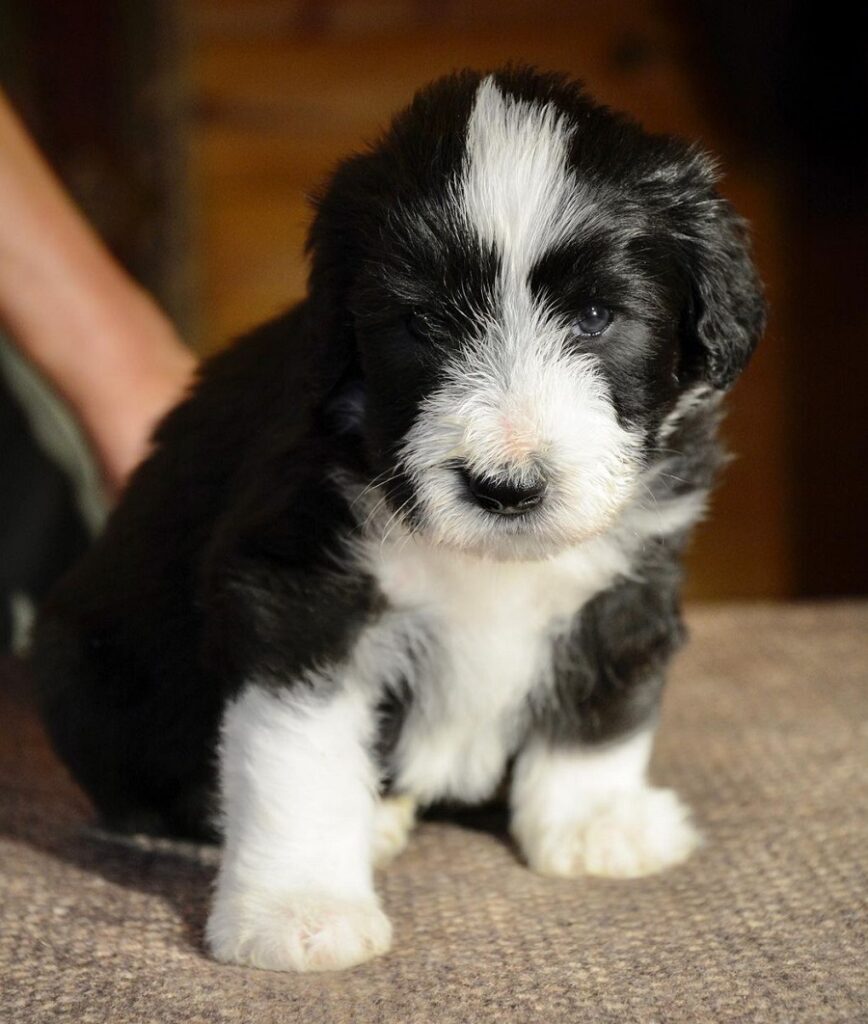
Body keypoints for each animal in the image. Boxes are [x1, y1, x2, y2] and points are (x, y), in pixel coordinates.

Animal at [32, 68, 765, 970]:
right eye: (421, 322)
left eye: (597, 316)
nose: (504, 486)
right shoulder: (299, 591)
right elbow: (301, 754)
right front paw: (300, 909)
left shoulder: (625, 579)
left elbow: (603, 699)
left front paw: (593, 822)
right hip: (80, 661)